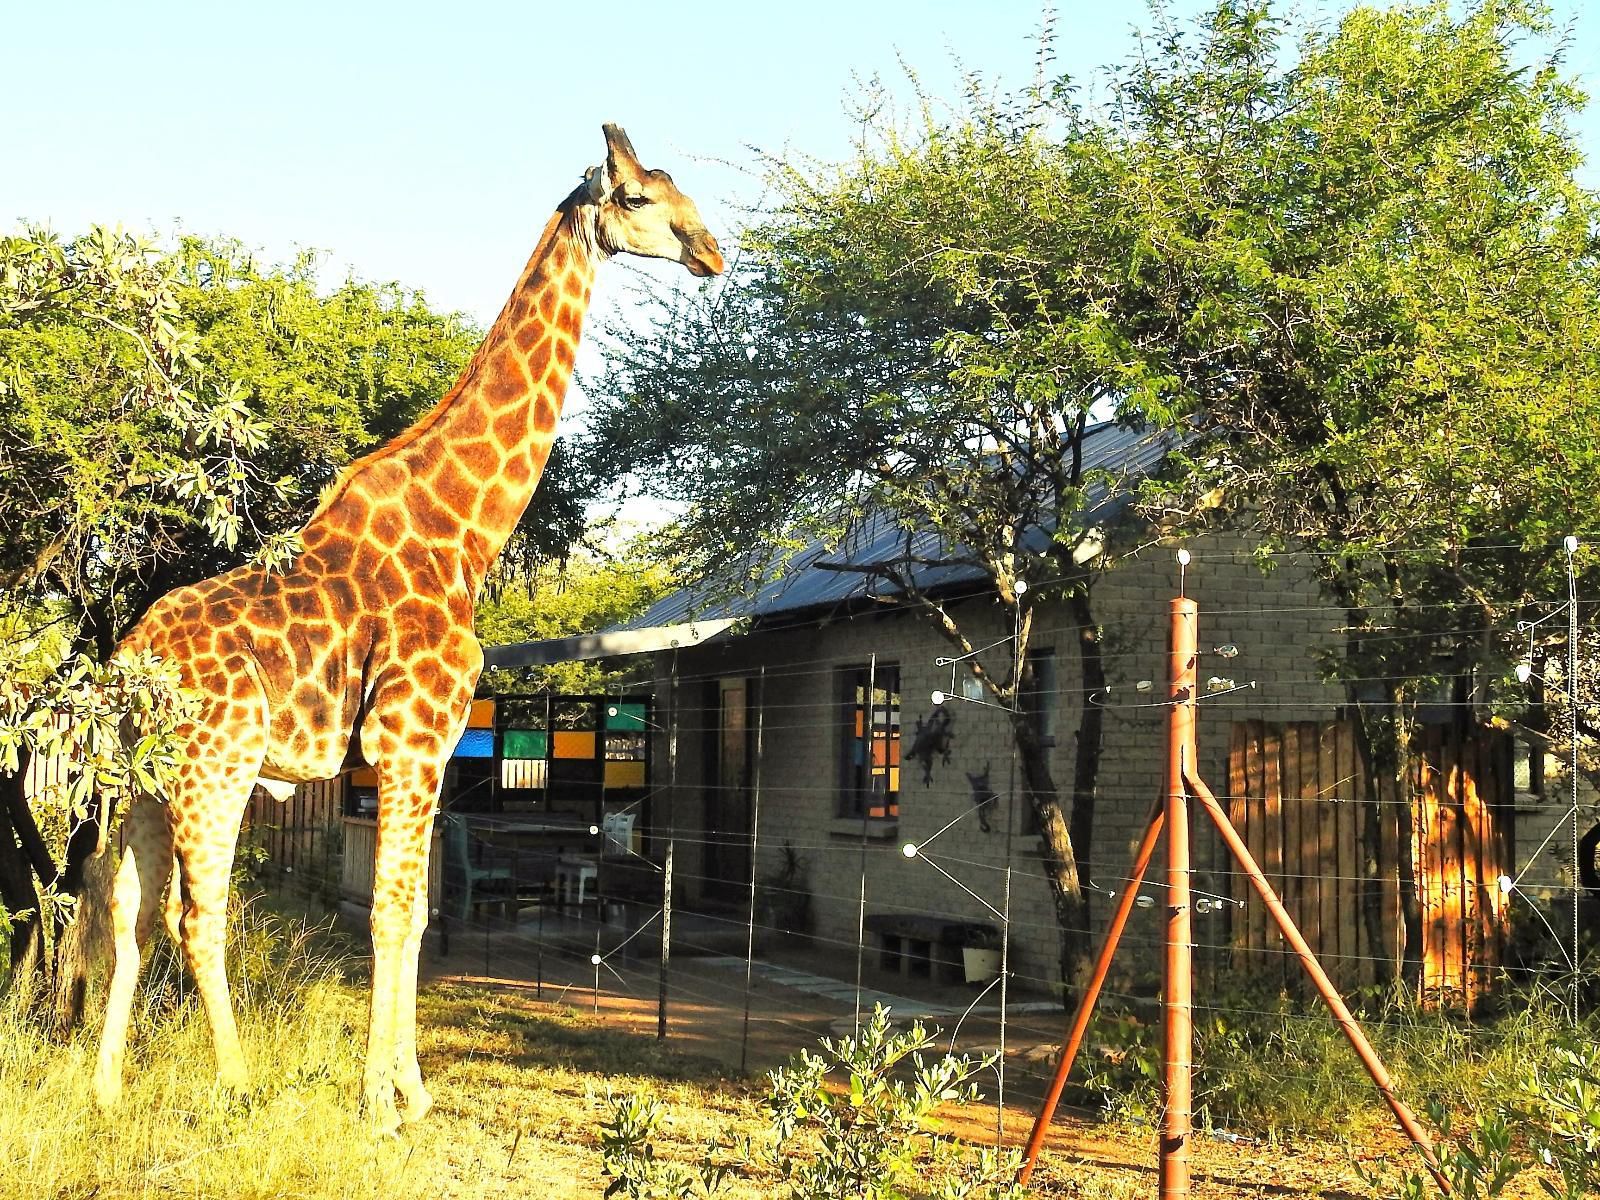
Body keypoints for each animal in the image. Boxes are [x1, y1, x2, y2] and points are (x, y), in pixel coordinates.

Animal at [90, 127, 729, 1132]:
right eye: (634, 197)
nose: (711, 252)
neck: (462, 532)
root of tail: (129, 661)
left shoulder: (420, 749)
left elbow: (418, 912)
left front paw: (414, 1089)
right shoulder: (413, 738)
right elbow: (395, 911)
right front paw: (382, 1103)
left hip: (145, 775)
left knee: (128, 906)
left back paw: (106, 1088)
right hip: (217, 766)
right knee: (201, 914)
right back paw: (236, 1083)